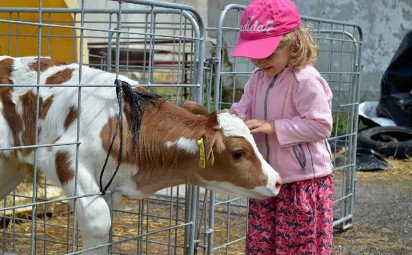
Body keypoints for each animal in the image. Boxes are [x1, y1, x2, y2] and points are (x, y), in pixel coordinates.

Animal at [0, 55, 282, 253]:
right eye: (239, 152)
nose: (277, 181)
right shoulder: (65, 156)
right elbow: (99, 222)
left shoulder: (107, 185)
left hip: (9, 166)